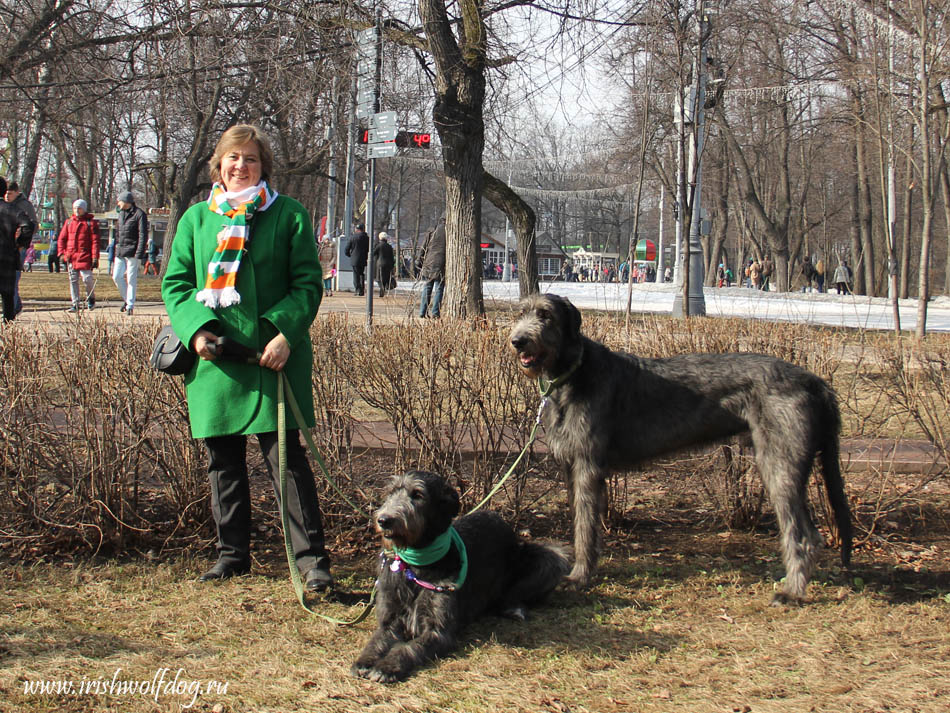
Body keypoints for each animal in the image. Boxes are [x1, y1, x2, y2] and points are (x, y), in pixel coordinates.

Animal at [354, 470, 568, 680]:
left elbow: (408, 647)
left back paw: (514, 608)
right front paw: (365, 661)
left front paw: (387, 666)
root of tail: (501, 520)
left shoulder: (438, 631)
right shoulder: (389, 618)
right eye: (390, 492)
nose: (383, 520)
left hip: (550, 559)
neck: (417, 566)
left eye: (418, 495)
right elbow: (378, 639)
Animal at [512, 292, 856, 604]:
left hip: (779, 465)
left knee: (805, 535)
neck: (573, 372)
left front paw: (579, 576)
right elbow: (578, 522)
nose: (517, 340)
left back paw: (793, 592)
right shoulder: (571, 467)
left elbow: (585, 528)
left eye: (545, 315)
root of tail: (815, 381)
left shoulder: (587, 466)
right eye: (521, 312)